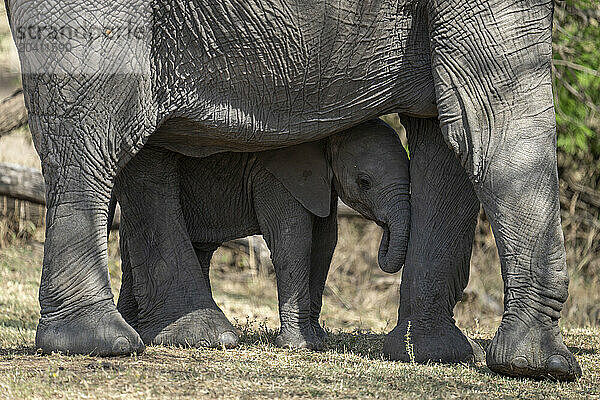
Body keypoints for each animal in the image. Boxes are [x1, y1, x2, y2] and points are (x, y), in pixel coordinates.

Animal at [115, 117, 410, 348]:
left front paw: (318, 339)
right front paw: (300, 346)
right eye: (364, 182)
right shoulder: (277, 177)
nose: (384, 228)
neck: (329, 135)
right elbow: (294, 243)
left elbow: (325, 245)